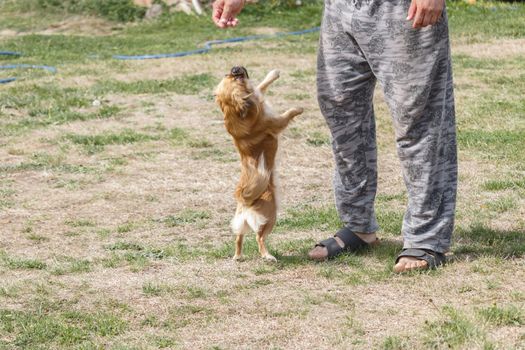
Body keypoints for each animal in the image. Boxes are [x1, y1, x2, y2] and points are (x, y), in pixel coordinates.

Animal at [214, 67, 302, 262]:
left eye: (229, 75)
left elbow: (261, 86)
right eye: (235, 79)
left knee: (239, 237)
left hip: (241, 220)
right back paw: (268, 256)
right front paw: (298, 109)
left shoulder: (257, 95)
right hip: (270, 217)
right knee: (259, 237)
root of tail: (244, 200)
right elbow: (286, 115)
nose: (235, 68)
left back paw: (238, 256)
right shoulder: (275, 122)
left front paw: (273, 74)